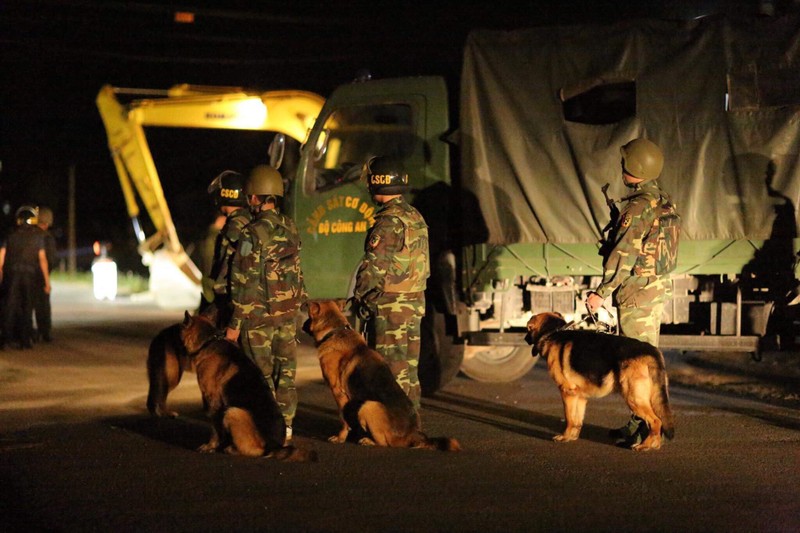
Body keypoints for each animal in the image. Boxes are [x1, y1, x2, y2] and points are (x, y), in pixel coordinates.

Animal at [180, 312, 318, 462]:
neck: (208, 341)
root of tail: (275, 447)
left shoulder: (212, 400)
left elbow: (214, 428)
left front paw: (210, 446)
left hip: (233, 412)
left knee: (255, 451)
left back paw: (232, 449)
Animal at [304, 300, 460, 448]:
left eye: (309, 316)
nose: (302, 326)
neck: (335, 331)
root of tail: (412, 434)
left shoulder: (338, 393)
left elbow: (343, 418)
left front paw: (340, 438)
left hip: (368, 406)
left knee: (384, 442)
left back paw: (368, 440)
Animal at [524, 310, 676, 450]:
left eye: (528, 329)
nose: (525, 339)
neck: (553, 332)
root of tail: (652, 351)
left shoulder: (567, 392)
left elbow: (569, 418)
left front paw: (564, 437)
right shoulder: (580, 396)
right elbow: (577, 420)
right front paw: (572, 436)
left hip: (633, 398)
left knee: (656, 421)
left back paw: (646, 445)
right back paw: (654, 444)